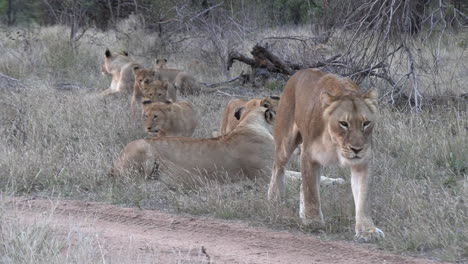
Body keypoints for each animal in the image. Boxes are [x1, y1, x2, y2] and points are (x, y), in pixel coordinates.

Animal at [109, 107, 344, 188]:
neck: (250, 124)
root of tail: (115, 161)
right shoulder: (264, 176)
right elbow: (299, 178)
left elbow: (303, 175)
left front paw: (337, 180)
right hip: (143, 147)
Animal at [266, 69, 384, 242]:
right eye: (344, 123)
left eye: (366, 123)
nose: (357, 149)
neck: (336, 143)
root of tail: (298, 73)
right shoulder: (309, 156)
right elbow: (311, 192)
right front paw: (313, 222)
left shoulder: (362, 163)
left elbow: (363, 198)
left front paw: (367, 230)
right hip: (285, 143)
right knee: (277, 167)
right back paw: (275, 199)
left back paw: (301, 213)